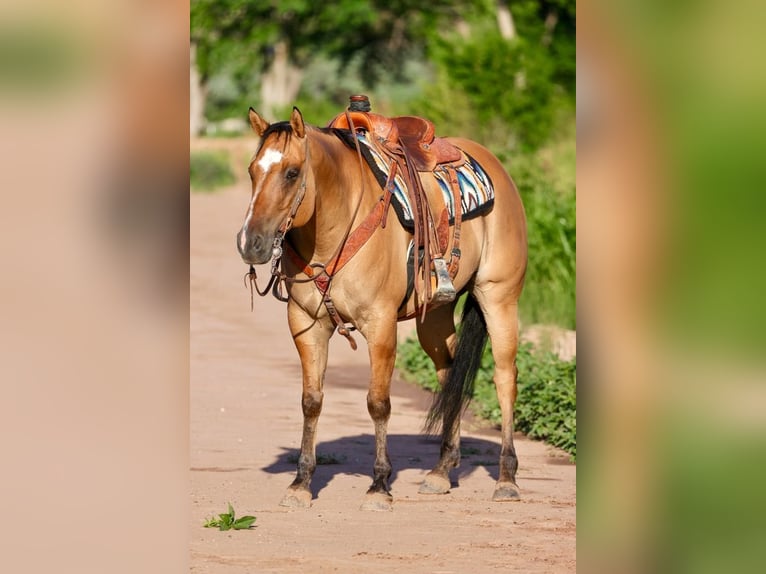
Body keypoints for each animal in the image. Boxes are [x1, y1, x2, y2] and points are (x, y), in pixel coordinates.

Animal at [237, 106, 527, 511]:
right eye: (252, 170)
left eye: (292, 173)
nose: (251, 244)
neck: (338, 225)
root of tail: (496, 166)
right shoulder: (307, 324)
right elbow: (311, 401)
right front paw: (301, 483)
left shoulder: (380, 325)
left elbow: (378, 403)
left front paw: (379, 485)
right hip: (435, 316)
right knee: (449, 376)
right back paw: (441, 471)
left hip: (499, 298)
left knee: (504, 378)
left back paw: (507, 478)